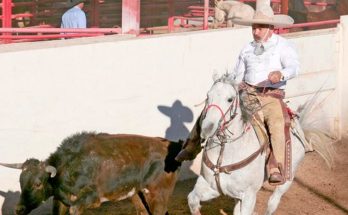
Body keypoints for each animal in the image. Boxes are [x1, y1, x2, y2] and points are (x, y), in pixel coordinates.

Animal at [188, 74, 334, 215]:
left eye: (230, 99)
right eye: (208, 96)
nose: (207, 128)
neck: (226, 153)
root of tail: (299, 128)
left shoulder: (249, 196)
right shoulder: (211, 186)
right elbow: (192, 200)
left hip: (287, 179)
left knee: (273, 203)